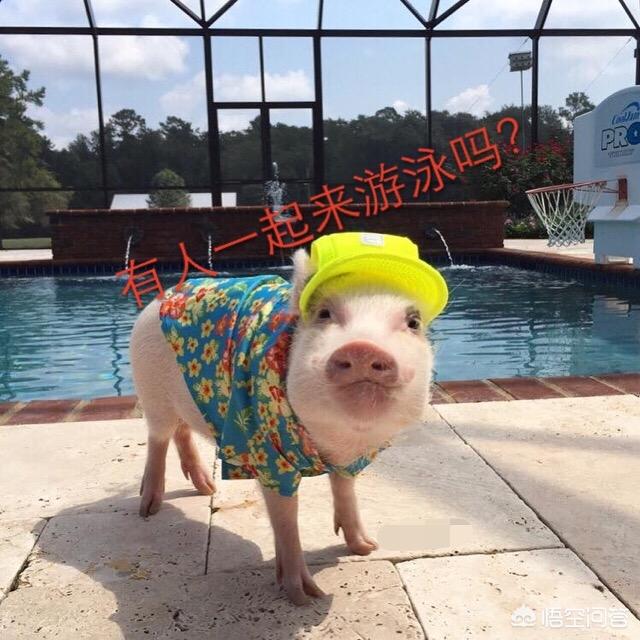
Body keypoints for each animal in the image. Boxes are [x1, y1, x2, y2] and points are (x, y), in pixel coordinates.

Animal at [130, 241, 437, 606]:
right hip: (151, 391)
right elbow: (286, 519)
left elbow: (344, 490)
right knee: (158, 438)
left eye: (413, 322)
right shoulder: (268, 457)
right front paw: (306, 596)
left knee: (181, 432)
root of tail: (161, 298)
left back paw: (207, 489)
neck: (335, 444)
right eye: (324, 314)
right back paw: (148, 510)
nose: (362, 348)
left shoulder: (349, 463)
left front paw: (366, 548)